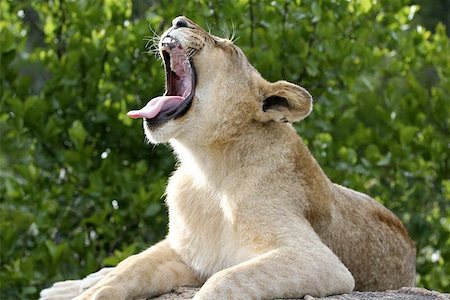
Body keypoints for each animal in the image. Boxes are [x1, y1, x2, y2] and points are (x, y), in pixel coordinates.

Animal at [40, 16, 416, 300]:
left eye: (226, 45)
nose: (178, 20)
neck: (207, 168)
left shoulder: (319, 261)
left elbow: (223, 280)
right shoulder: (186, 252)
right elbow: (126, 272)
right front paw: (88, 292)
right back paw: (62, 288)